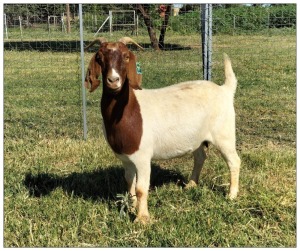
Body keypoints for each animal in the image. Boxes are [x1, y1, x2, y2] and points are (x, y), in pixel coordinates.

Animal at [84, 37, 241, 224]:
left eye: (126, 56)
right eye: (100, 57)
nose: (113, 81)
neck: (128, 110)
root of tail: (225, 90)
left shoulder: (143, 157)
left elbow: (141, 188)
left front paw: (142, 219)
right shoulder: (126, 158)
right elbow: (129, 182)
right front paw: (131, 206)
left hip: (224, 133)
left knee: (234, 161)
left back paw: (231, 195)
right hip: (196, 137)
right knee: (200, 157)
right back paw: (191, 185)